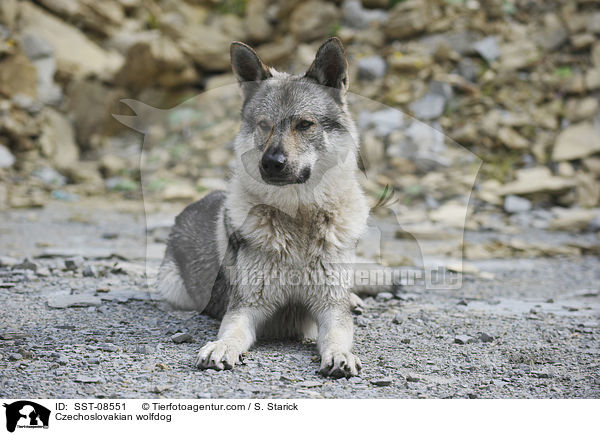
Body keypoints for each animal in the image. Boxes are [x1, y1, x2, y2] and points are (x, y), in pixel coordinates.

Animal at [157, 37, 368, 378]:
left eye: (304, 124)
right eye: (264, 125)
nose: (271, 162)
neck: (298, 220)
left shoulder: (330, 308)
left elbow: (337, 335)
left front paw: (340, 355)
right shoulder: (245, 309)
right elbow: (231, 333)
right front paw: (220, 348)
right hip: (175, 288)